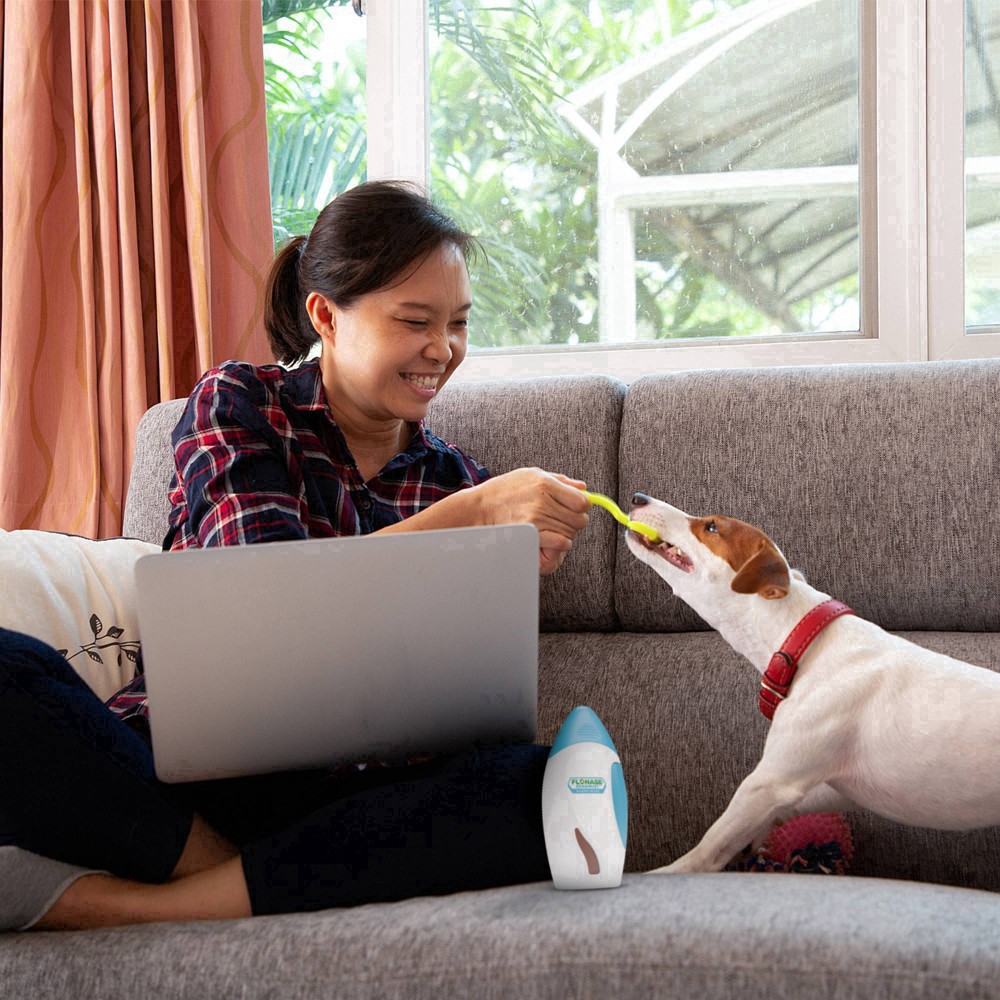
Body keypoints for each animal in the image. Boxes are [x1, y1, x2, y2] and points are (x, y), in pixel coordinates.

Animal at [624, 492, 1000, 876]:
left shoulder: (771, 782)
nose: (638, 497)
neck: (805, 643)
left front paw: (666, 874)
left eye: (712, 527)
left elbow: (708, 848)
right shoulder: (835, 786)